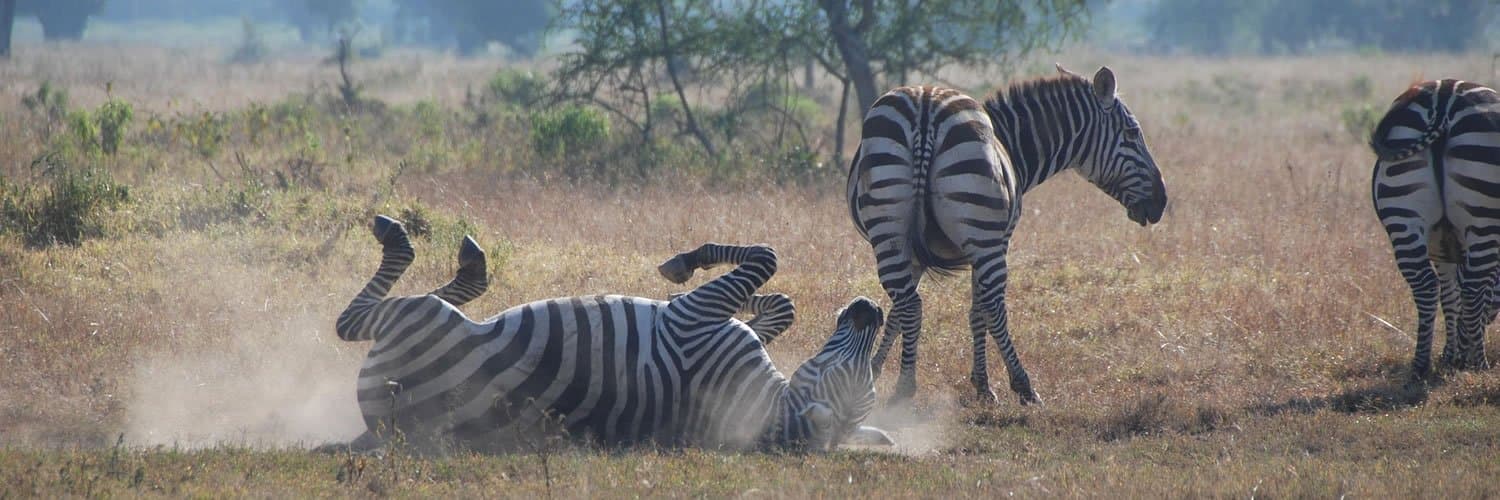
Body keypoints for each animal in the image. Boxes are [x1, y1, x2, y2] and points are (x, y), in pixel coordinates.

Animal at [332, 215, 893, 452]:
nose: (872, 310)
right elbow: (781, 303)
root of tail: (380, 428)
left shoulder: (695, 317)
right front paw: (754, 309)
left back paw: (410, 238)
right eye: (856, 370)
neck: (761, 407)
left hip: (417, 320)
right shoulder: (709, 319)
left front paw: (681, 263)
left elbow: (766, 258)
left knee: (353, 320)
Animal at [846, 65, 1168, 405]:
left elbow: (896, 312)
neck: (1011, 145)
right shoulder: (995, 241)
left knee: (910, 303)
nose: (1162, 201)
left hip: (889, 228)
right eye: (1132, 133)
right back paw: (1023, 384)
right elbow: (978, 311)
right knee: (993, 305)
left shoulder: (915, 255)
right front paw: (983, 385)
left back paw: (905, 386)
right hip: (983, 235)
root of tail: (925, 108)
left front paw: (872, 368)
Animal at [1370, 78, 1500, 380]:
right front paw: (1462, 353)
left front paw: (1450, 354)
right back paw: (1478, 364)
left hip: (1403, 214)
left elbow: (1449, 296)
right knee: (1474, 287)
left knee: (1425, 285)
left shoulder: (1442, 247)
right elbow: (1477, 290)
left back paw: (1420, 365)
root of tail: (1443, 98)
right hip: (1482, 215)